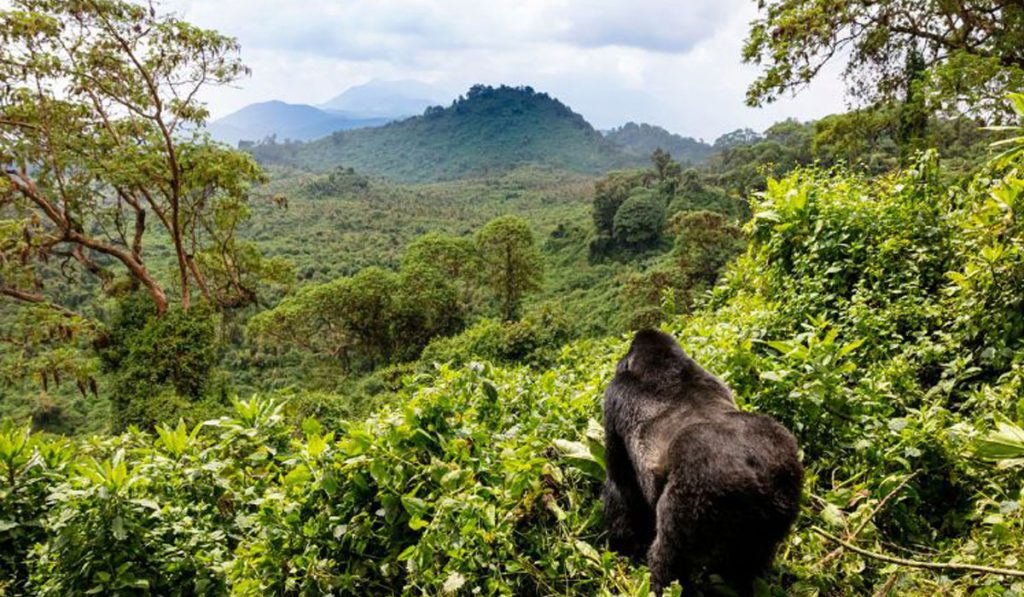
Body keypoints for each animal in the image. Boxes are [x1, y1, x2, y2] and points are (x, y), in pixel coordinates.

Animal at [603, 329, 803, 596]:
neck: (663, 365)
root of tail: (757, 478)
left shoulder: (614, 395)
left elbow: (621, 485)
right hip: (783, 485)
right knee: (750, 561)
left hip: (697, 495)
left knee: (669, 561)